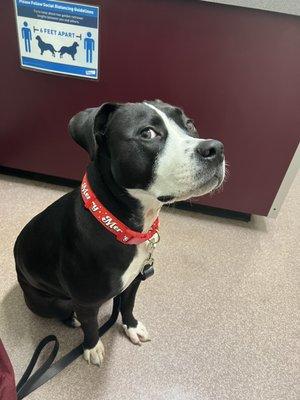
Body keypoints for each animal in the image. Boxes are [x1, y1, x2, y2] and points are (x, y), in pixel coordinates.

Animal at [14, 100, 225, 366]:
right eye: (147, 133)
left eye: (189, 124)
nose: (216, 148)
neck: (121, 226)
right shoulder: (86, 302)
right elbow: (91, 325)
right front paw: (91, 346)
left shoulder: (135, 280)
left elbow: (128, 305)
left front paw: (131, 326)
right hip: (50, 301)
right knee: (65, 311)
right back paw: (72, 319)